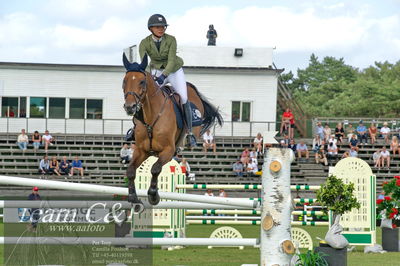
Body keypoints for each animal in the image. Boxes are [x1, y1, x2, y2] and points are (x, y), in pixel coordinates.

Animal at [122, 53, 222, 209]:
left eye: (142, 82)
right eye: (124, 81)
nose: (130, 107)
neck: (151, 117)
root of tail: (191, 88)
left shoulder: (168, 151)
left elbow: (155, 169)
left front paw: (153, 195)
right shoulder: (141, 151)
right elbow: (131, 171)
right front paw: (133, 198)